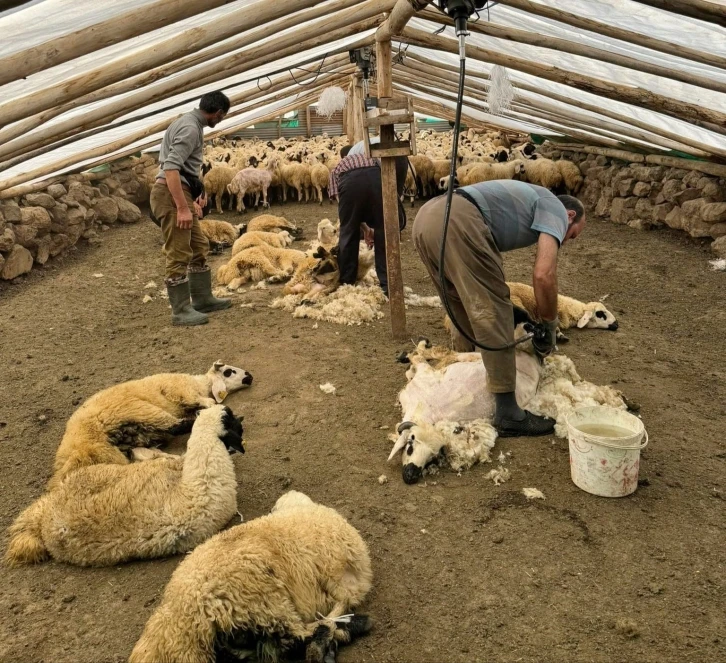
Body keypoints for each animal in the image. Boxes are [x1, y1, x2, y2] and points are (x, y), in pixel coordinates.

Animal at [47, 360, 253, 490]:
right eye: (229, 371)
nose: (250, 376)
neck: (200, 383)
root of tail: (74, 453)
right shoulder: (181, 391)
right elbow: (208, 404)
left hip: (122, 447)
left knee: (150, 453)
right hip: (138, 410)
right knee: (177, 426)